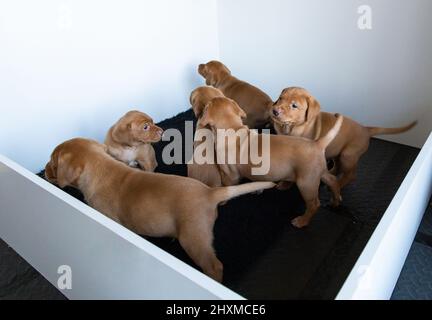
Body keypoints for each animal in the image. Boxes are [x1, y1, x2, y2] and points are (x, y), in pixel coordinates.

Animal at [45, 139, 276, 282]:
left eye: (53, 162)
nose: (45, 171)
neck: (101, 167)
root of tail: (210, 192)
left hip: (193, 238)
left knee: (214, 266)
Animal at [199, 97, 344, 228]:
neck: (233, 129)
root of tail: (318, 144)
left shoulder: (229, 174)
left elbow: (227, 186)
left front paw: (221, 201)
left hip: (306, 182)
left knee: (314, 204)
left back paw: (302, 221)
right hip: (318, 173)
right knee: (333, 180)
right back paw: (336, 201)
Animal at [272, 86, 416, 189]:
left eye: (294, 105)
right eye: (280, 98)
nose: (274, 111)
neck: (290, 127)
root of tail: (366, 129)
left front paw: (286, 184)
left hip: (348, 154)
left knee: (351, 175)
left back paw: (338, 186)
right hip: (338, 151)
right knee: (338, 166)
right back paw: (331, 174)